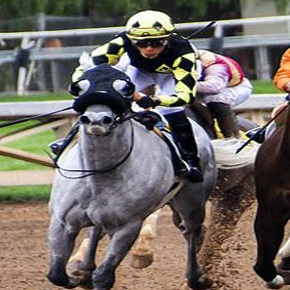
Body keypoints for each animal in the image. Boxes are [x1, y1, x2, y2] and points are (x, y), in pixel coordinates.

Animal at [46, 64, 216, 290]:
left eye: (125, 89)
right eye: (80, 87)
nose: (96, 120)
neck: (99, 175)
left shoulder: (127, 227)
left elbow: (103, 276)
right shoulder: (62, 221)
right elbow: (56, 274)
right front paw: (79, 276)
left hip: (192, 202)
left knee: (191, 232)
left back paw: (196, 277)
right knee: (95, 230)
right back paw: (84, 267)